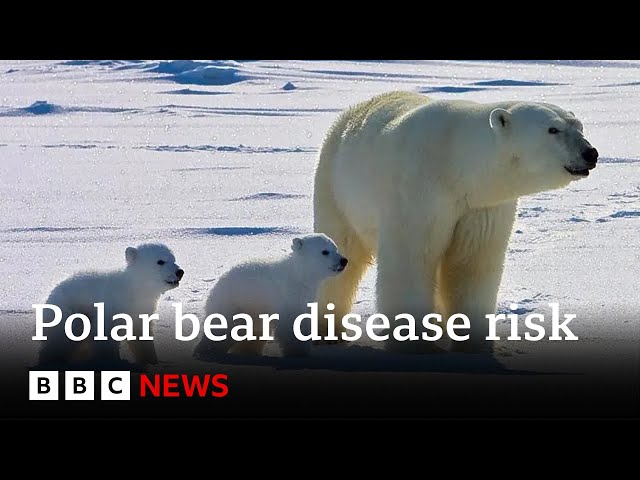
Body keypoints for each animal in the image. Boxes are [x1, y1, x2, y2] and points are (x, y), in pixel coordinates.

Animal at [37, 244, 184, 368]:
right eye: (160, 261)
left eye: (173, 259)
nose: (180, 272)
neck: (133, 291)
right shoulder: (111, 306)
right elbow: (105, 336)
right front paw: (112, 363)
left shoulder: (143, 309)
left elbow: (141, 335)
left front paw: (151, 361)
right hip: (70, 310)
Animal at [192, 232, 348, 360]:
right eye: (325, 252)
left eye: (336, 248)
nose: (344, 260)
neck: (298, 275)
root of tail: (218, 282)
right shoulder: (287, 293)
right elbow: (290, 324)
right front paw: (297, 353)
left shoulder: (305, 296)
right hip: (233, 300)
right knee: (222, 325)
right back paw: (204, 352)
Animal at [316, 91, 600, 352]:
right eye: (553, 129)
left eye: (579, 126)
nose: (591, 153)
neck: (455, 163)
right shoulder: (419, 192)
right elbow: (411, 260)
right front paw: (414, 346)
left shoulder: (481, 206)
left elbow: (471, 265)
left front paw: (473, 345)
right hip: (336, 187)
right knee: (342, 251)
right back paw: (326, 332)